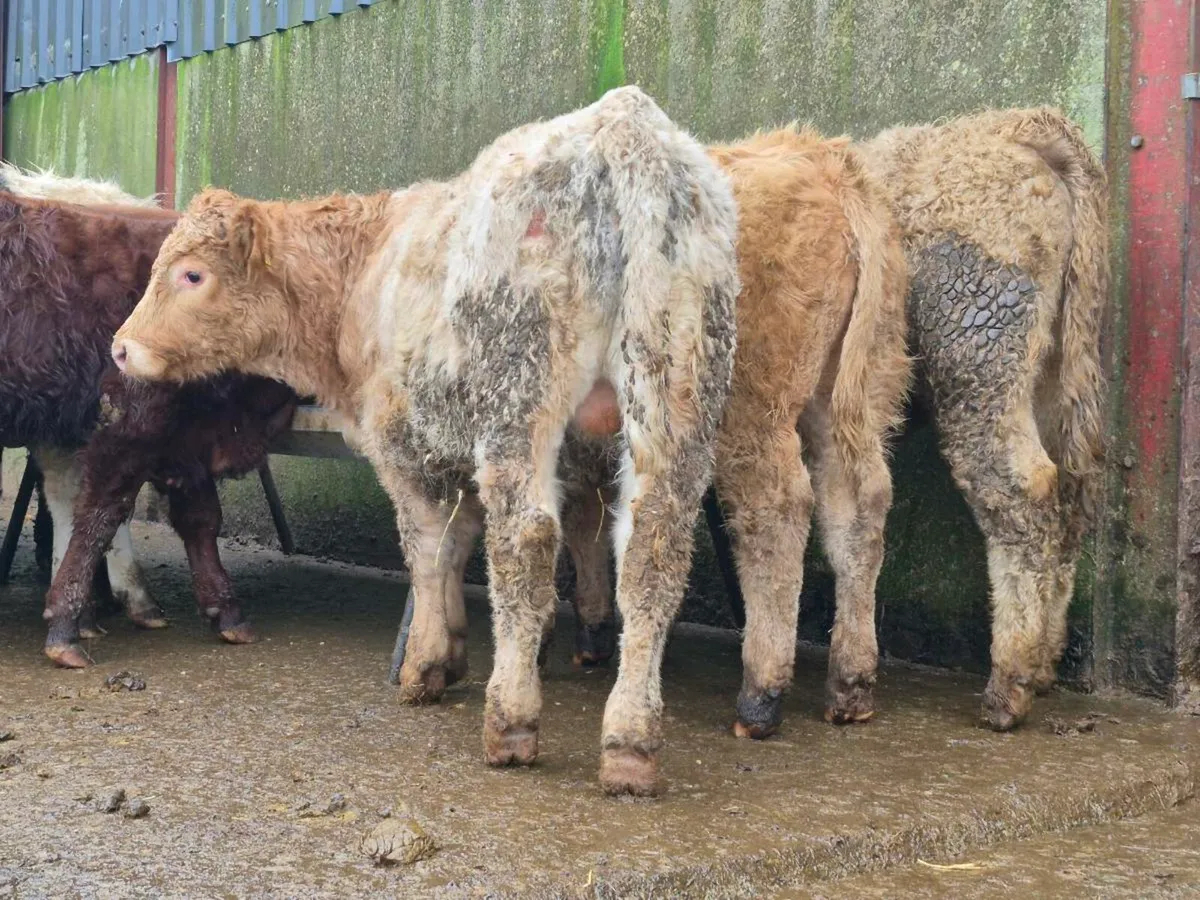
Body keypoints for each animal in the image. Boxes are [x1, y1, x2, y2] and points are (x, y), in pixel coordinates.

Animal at [113, 86, 741, 797]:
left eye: (191, 275)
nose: (121, 348)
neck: (365, 270)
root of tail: (624, 125)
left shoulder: (401, 444)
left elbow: (427, 549)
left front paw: (427, 662)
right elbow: (460, 539)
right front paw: (462, 646)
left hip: (519, 397)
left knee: (526, 536)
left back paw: (511, 719)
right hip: (674, 389)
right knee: (652, 548)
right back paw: (630, 741)